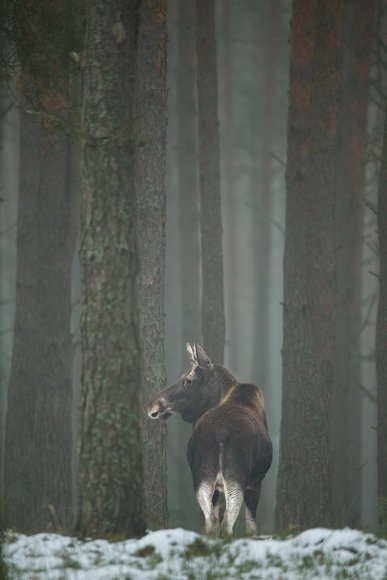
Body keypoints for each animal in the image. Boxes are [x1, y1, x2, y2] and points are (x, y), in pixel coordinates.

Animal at [149, 342, 272, 536]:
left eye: (188, 380)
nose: (153, 404)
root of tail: (221, 434)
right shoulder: (256, 480)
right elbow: (251, 528)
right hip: (237, 477)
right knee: (226, 523)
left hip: (202, 476)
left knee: (210, 522)